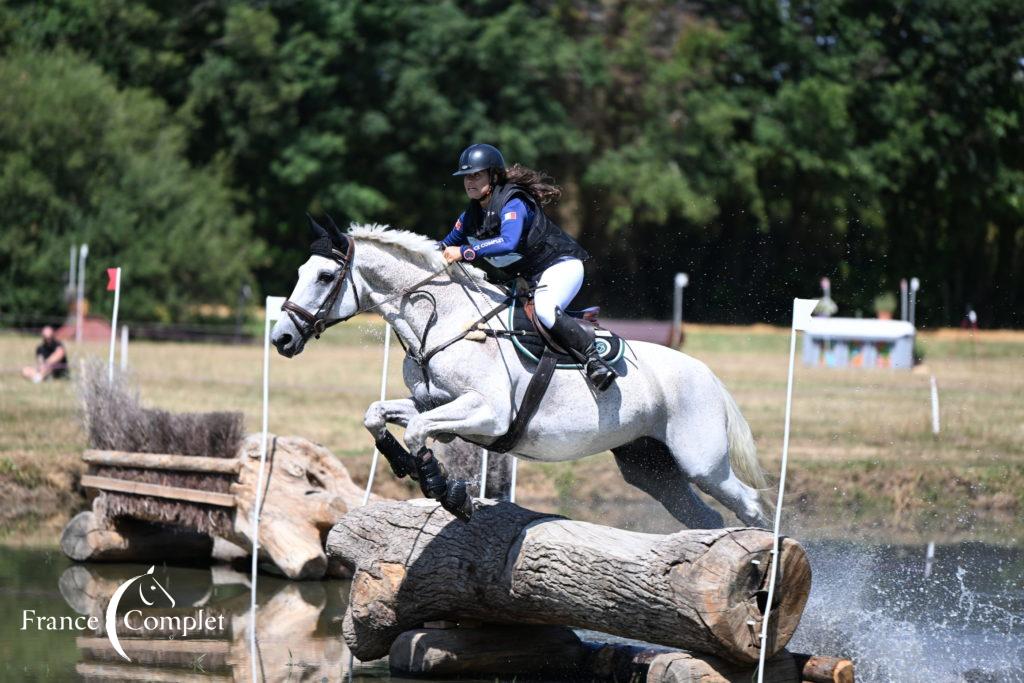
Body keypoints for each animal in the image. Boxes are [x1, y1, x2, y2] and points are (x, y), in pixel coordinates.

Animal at [272, 220, 770, 528]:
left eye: (324, 276)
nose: (281, 338)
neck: (443, 322)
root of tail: (707, 373)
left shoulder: (488, 414)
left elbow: (416, 430)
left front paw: (444, 490)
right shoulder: (433, 403)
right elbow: (378, 414)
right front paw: (403, 464)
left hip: (701, 461)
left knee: (749, 504)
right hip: (650, 467)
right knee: (704, 516)